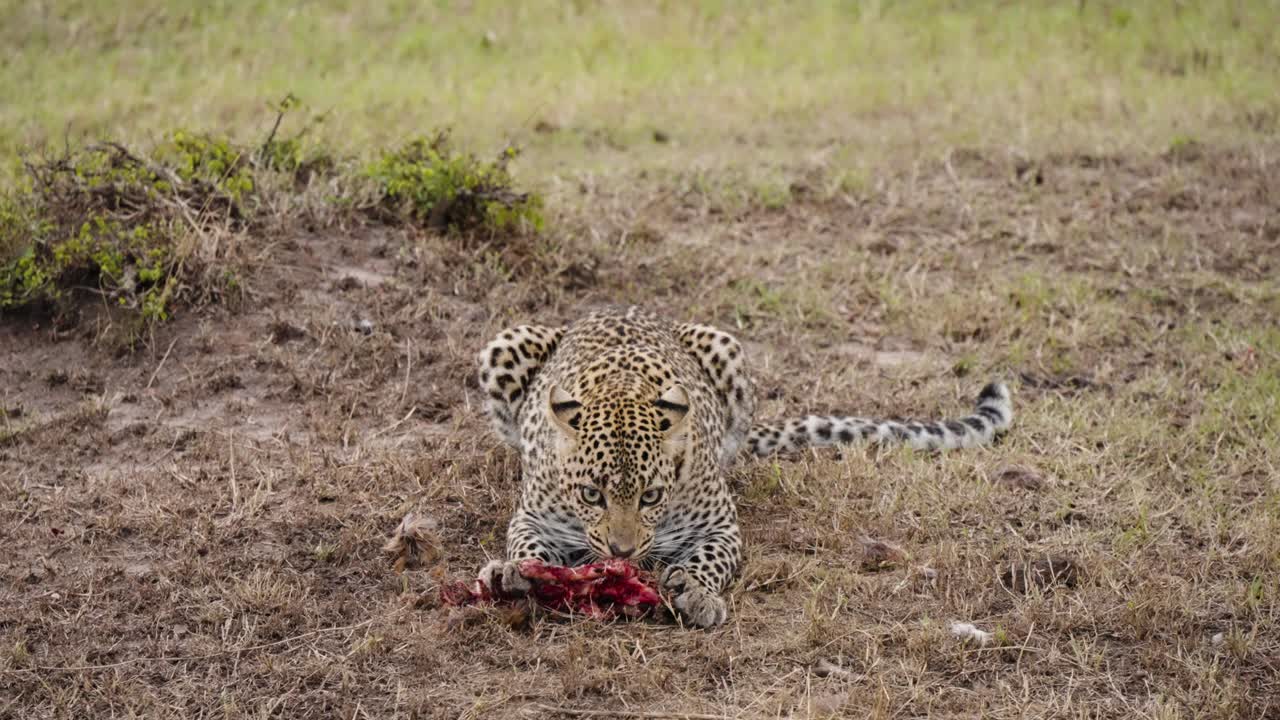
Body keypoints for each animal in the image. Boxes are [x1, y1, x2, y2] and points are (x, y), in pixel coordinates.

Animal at [475, 306, 1012, 627]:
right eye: (592, 494)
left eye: (651, 496)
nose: (621, 552)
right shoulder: (535, 517)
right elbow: (526, 544)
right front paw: (514, 572)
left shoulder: (720, 526)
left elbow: (708, 558)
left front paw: (696, 592)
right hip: (506, 342)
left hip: (724, 345)